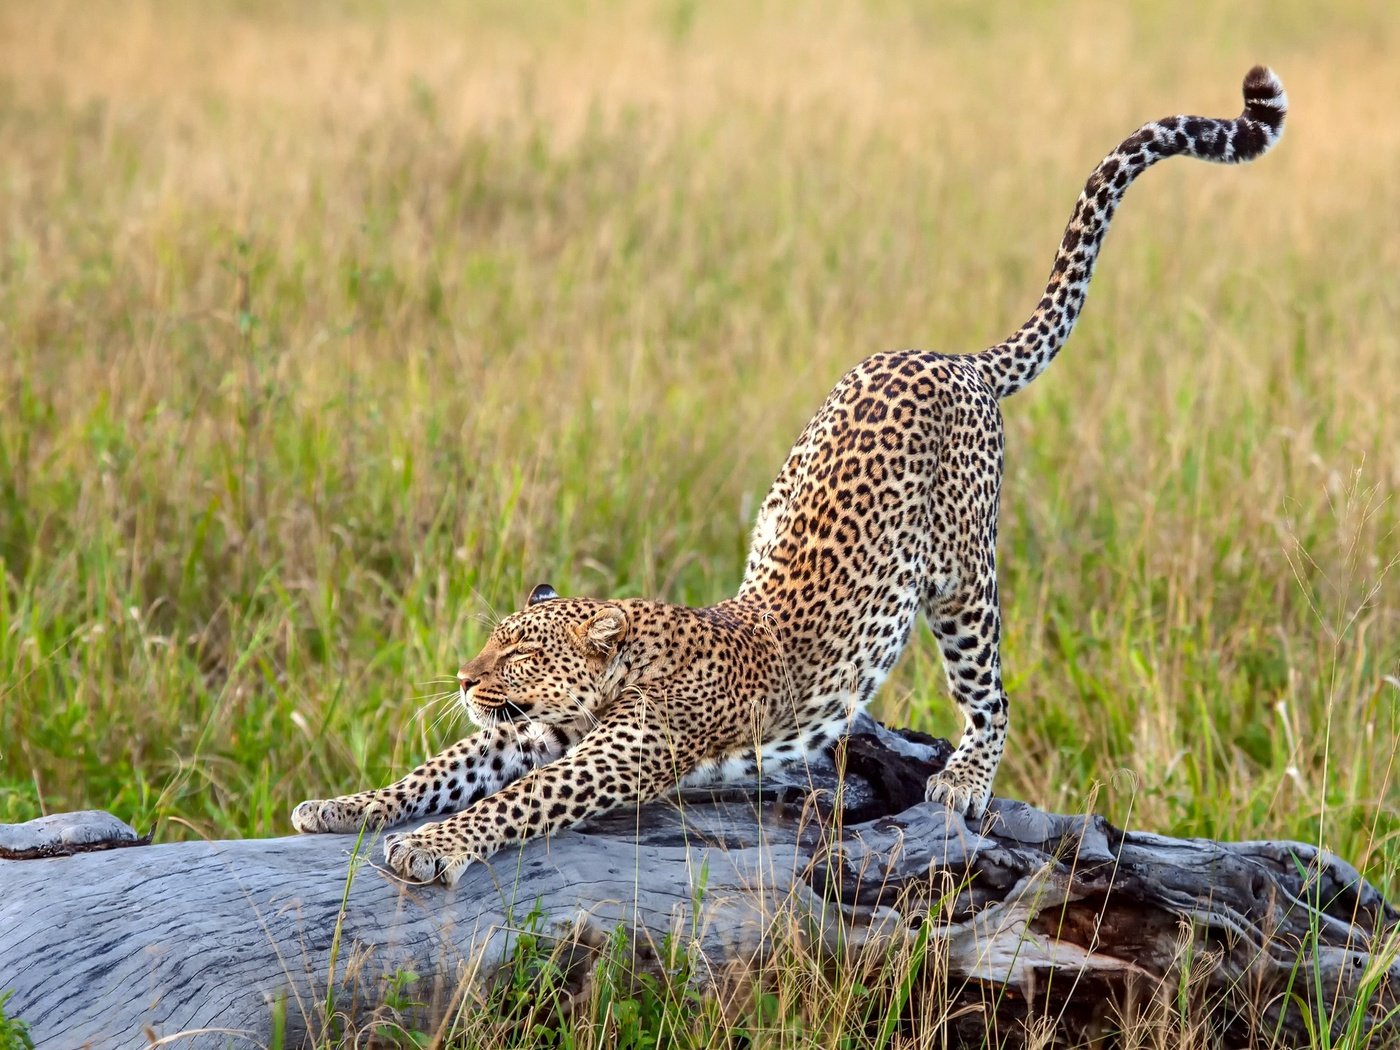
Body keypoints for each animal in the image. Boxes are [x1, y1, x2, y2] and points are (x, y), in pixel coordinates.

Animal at [295, 67, 1288, 890]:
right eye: (492, 643)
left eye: (519, 654)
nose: (464, 679)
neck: (625, 668)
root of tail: (951, 356)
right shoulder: (536, 733)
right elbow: (438, 769)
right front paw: (345, 805)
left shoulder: (614, 754)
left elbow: (510, 803)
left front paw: (433, 846)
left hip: (963, 584)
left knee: (993, 695)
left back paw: (964, 780)